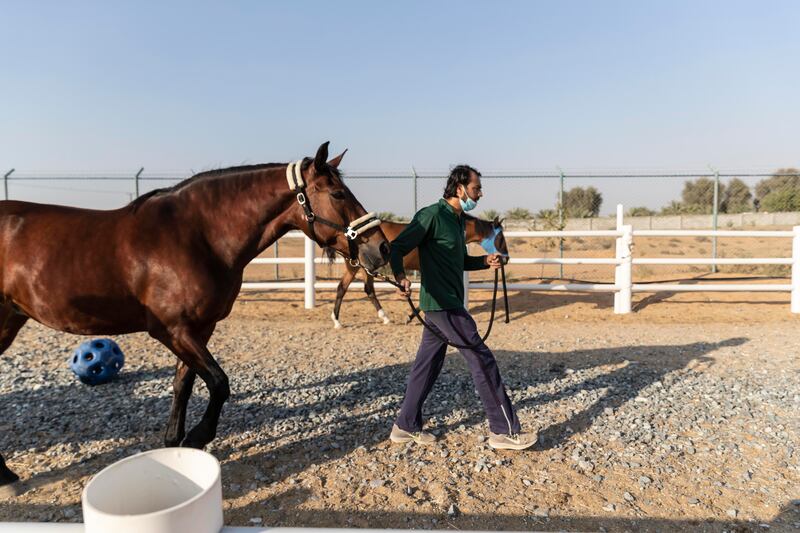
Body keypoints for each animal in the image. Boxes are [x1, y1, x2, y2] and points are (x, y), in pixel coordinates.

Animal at [0, 141, 390, 494]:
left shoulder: (200, 329)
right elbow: (218, 382)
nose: (381, 247)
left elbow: (183, 385)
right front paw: (197, 437)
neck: (197, 237)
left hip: (11, 320)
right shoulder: (172, 330)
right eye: (338, 193)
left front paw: (174, 444)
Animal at [330, 214, 506, 326]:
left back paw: (339, 320)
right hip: (361, 267)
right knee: (360, 289)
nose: (505, 258)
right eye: (500, 238)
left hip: (361, 267)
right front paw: (409, 317)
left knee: (346, 288)